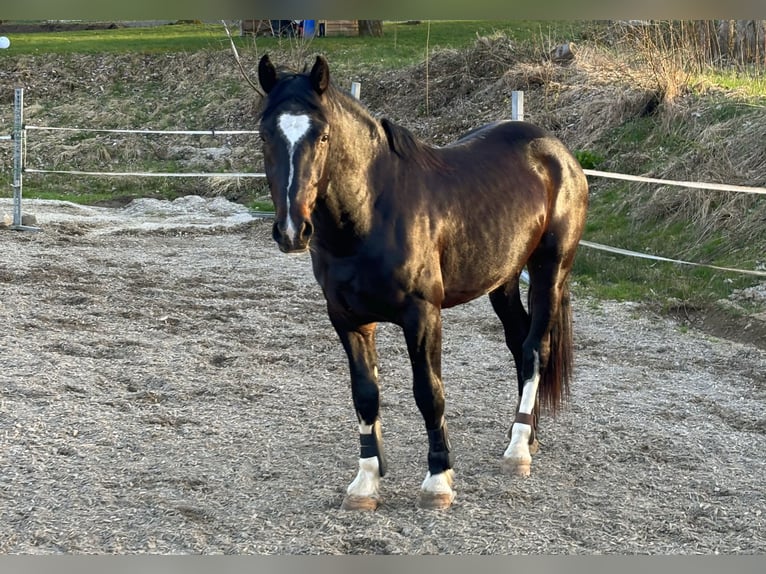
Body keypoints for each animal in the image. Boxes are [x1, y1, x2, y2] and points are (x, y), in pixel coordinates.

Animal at [256, 55, 588, 512]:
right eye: (265, 135)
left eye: (322, 136)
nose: (292, 231)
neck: (372, 212)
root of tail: (557, 151)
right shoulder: (347, 319)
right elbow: (365, 394)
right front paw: (365, 483)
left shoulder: (422, 316)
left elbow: (429, 393)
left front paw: (438, 480)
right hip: (502, 278)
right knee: (518, 341)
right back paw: (526, 437)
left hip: (549, 269)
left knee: (535, 348)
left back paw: (519, 448)